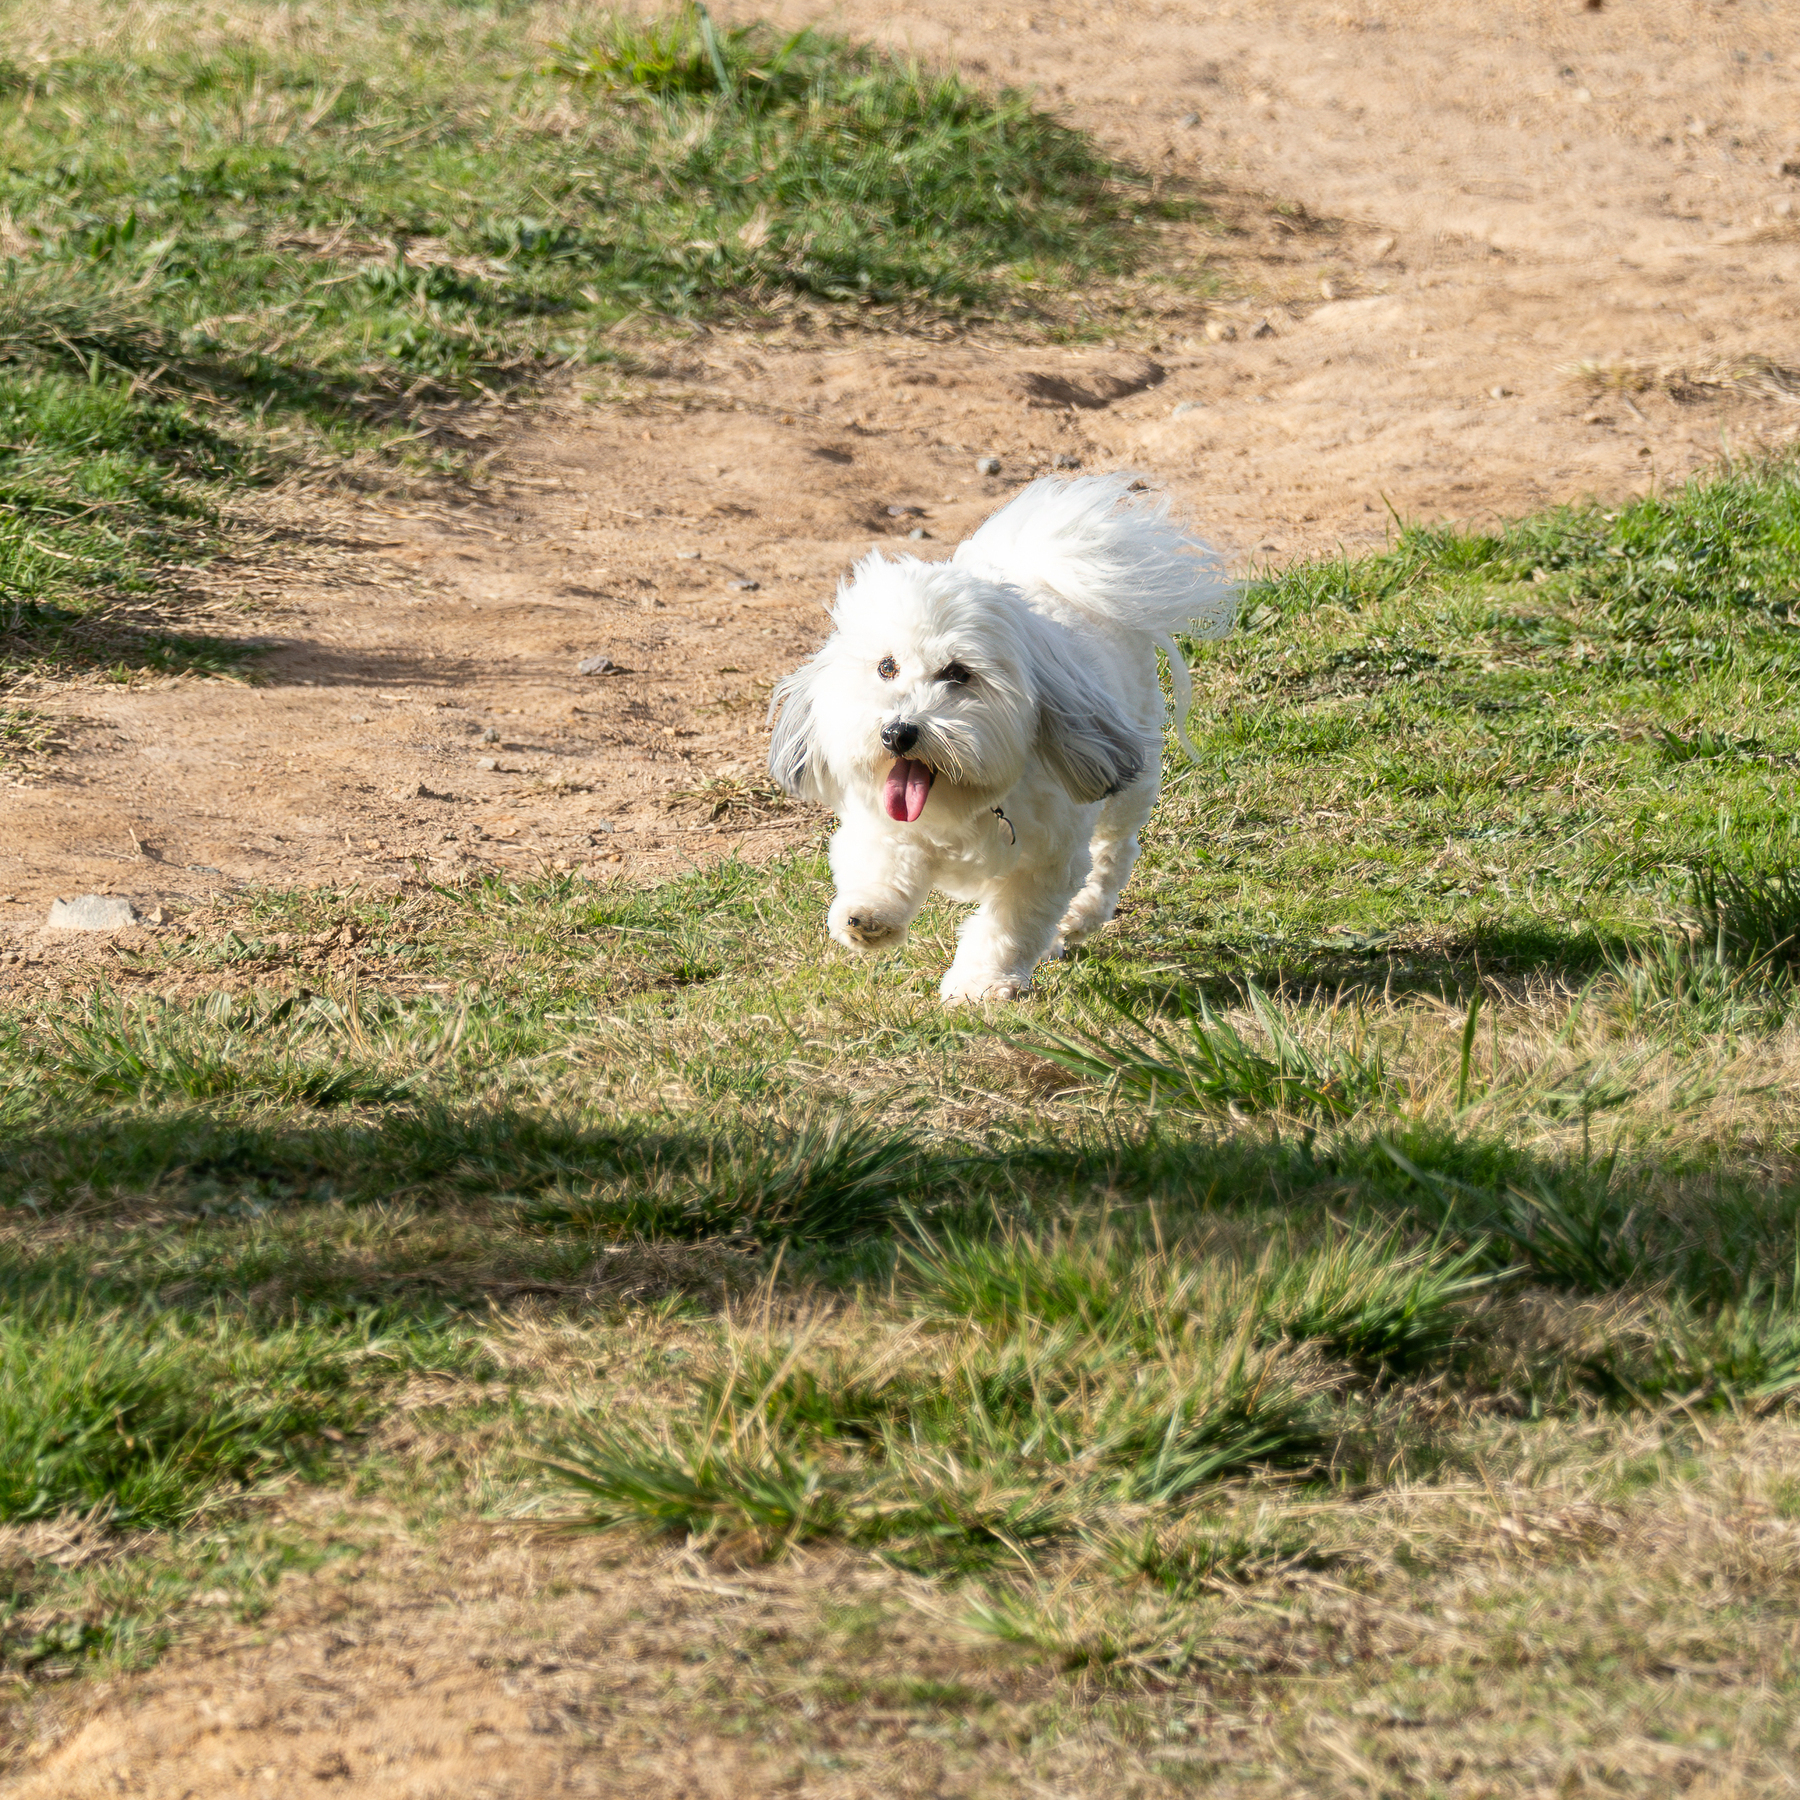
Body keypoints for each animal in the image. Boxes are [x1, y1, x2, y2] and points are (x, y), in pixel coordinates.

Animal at [759, 471, 1238, 1008]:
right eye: (886, 667)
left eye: (958, 673)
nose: (898, 732)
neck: (963, 803)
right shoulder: (884, 822)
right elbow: (881, 862)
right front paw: (868, 917)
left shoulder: (1045, 862)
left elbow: (1009, 927)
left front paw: (979, 985)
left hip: (1129, 775)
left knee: (1115, 852)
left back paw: (1081, 916)